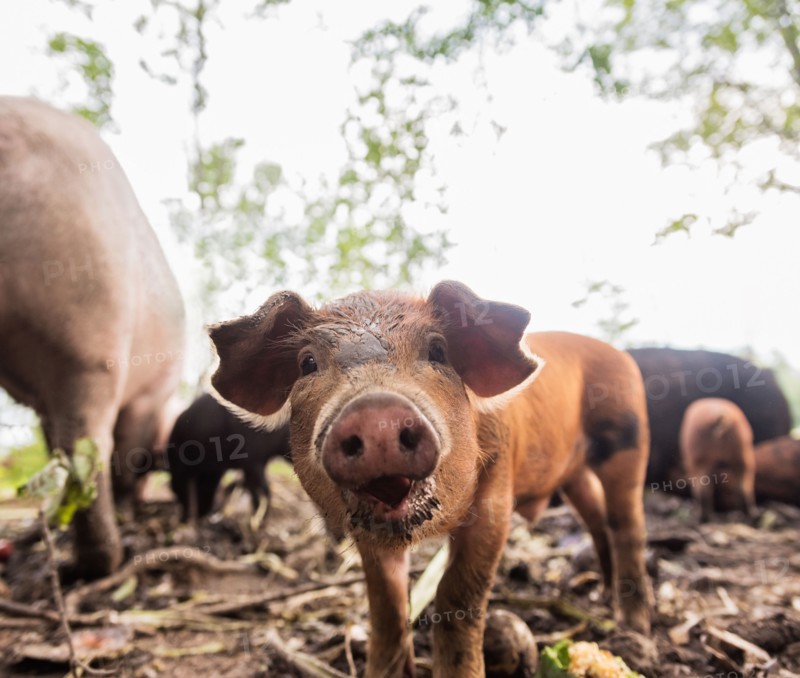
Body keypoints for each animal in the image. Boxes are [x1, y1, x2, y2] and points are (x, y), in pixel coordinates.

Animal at [0, 97, 185, 577]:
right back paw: (99, 562)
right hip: (89, 338)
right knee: (88, 446)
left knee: (67, 450)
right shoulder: (148, 395)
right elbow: (128, 454)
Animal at [209, 281, 653, 677]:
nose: (376, 410)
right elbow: (386, 605)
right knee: (597, 522)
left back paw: (632, 622)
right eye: (307, 363)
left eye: (438, 351)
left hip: (628, 434)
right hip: (575, 474)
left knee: (627, 524)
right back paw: (604, 593)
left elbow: (457, 595)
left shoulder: (497, 492)